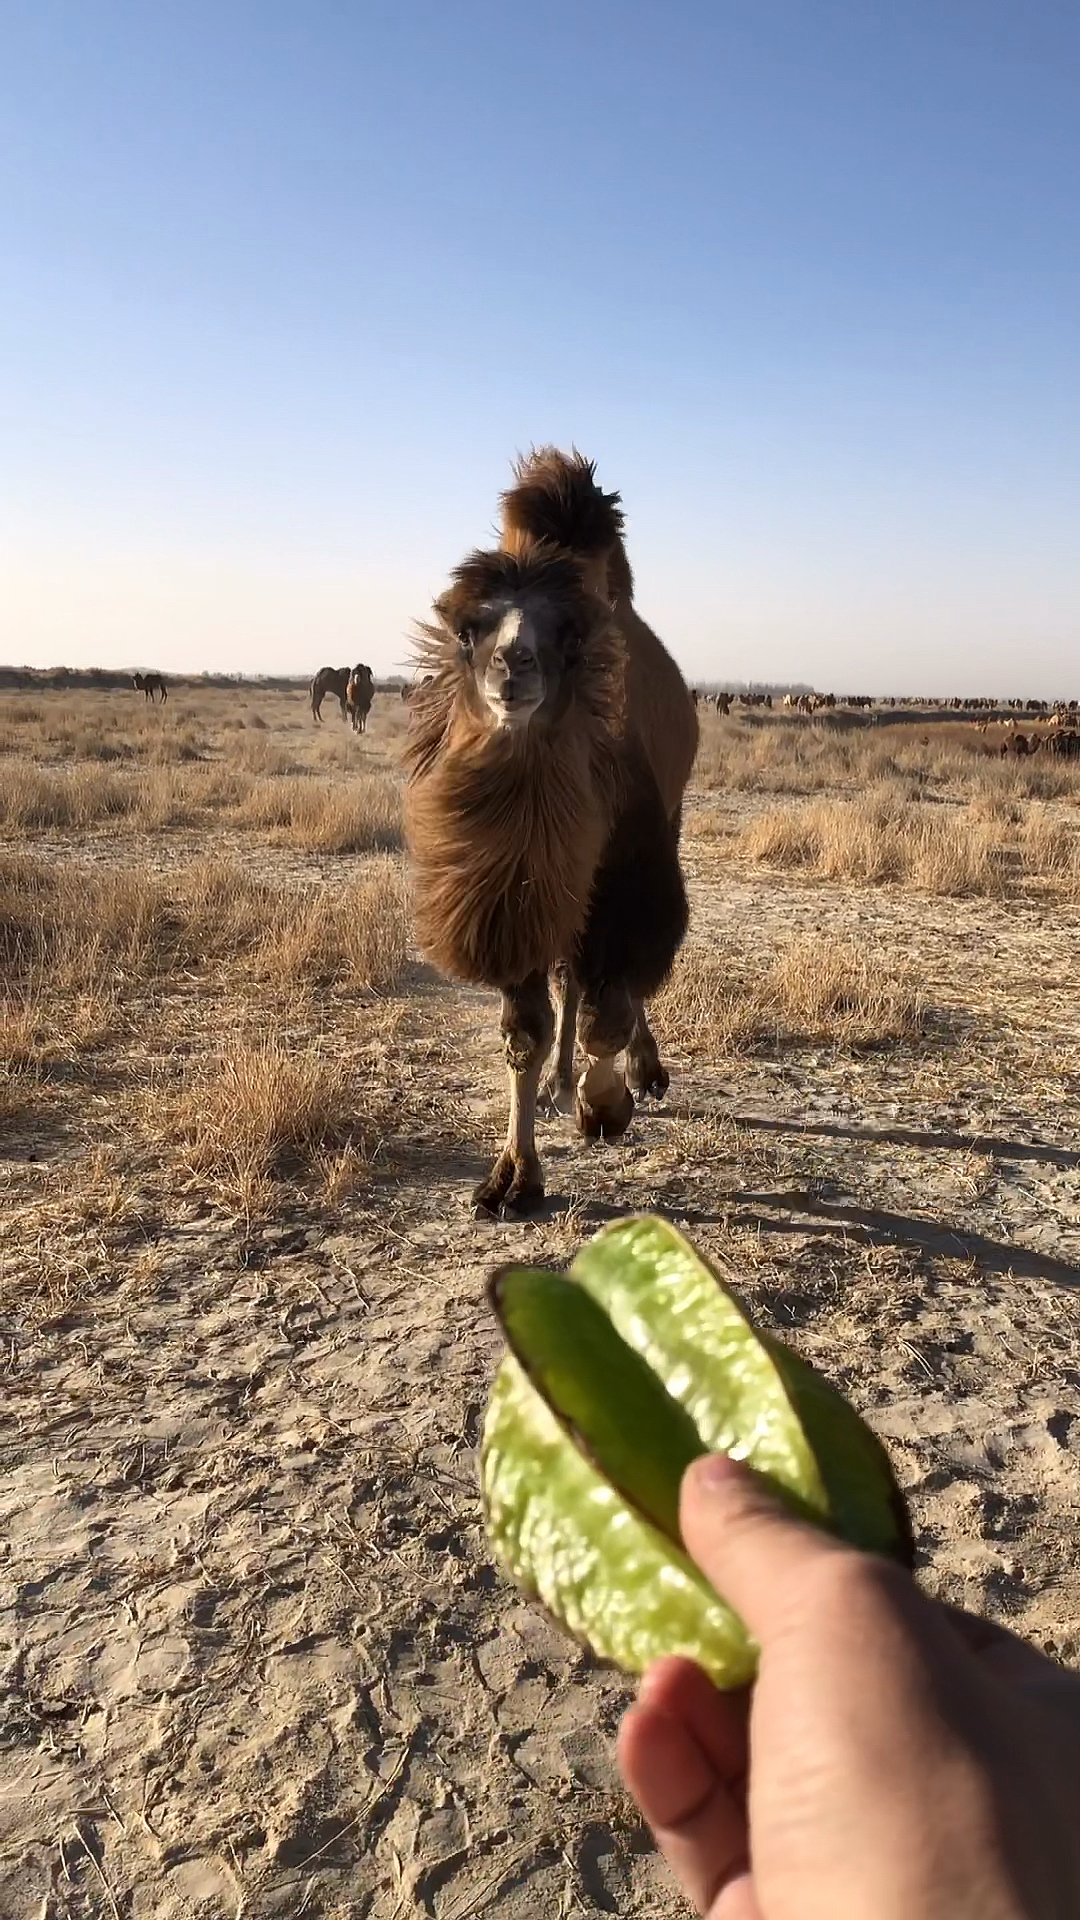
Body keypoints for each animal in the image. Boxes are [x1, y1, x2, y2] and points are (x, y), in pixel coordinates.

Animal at [403, 449, 699, 1213]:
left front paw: (606, 1106)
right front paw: (512, 1178)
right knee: (574, 975)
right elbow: (524, 1033)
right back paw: (559, 1086)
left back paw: (636, 1076)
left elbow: (611, 1010)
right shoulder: (511, 896)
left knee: (611, 983)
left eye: (567, 635)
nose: (515, 663)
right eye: (468, 630)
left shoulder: (631, 872)